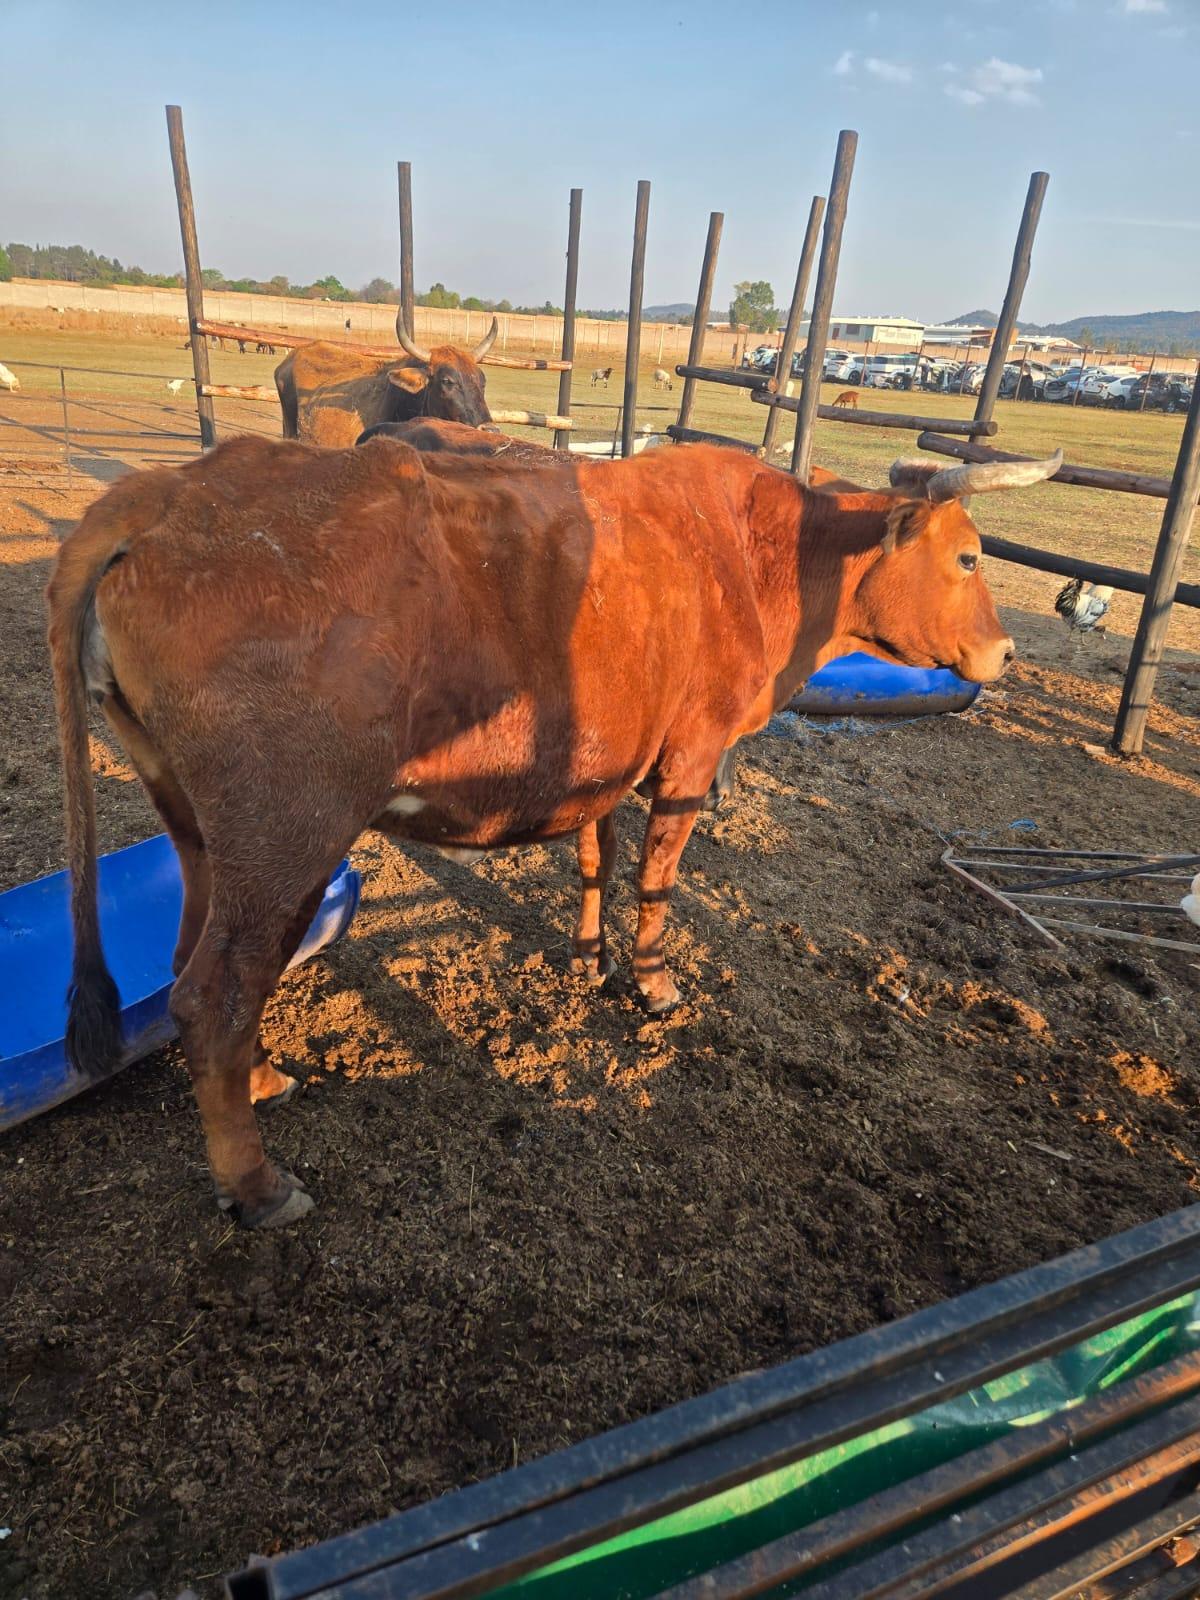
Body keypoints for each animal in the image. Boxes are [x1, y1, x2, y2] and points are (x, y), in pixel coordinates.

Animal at [48, 436, 1059, 1227]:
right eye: (970, 560)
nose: (1007, 651)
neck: (759, 552)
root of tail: (164, 493)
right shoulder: (692, 752)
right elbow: (657, 873)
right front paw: (652, 979)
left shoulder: (607, 750)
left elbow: (595, 855)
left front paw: (586, 957)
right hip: (289, 831)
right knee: (215, 994)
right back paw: (258, 1184)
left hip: (204, 828)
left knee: (190, 968)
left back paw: (259, 1081)